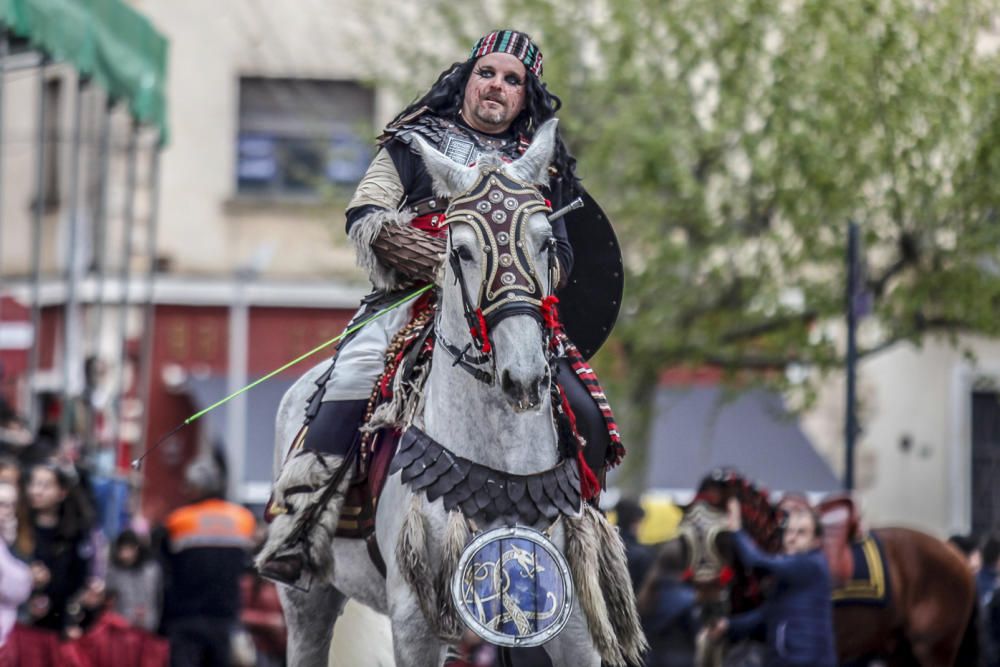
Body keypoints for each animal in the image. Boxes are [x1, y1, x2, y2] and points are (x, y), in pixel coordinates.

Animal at [640, 470, 976, 667]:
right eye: (684, 539)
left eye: (723, 536)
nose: (708, 606)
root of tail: (956, 556)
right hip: (898, 648)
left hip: (933, 648)